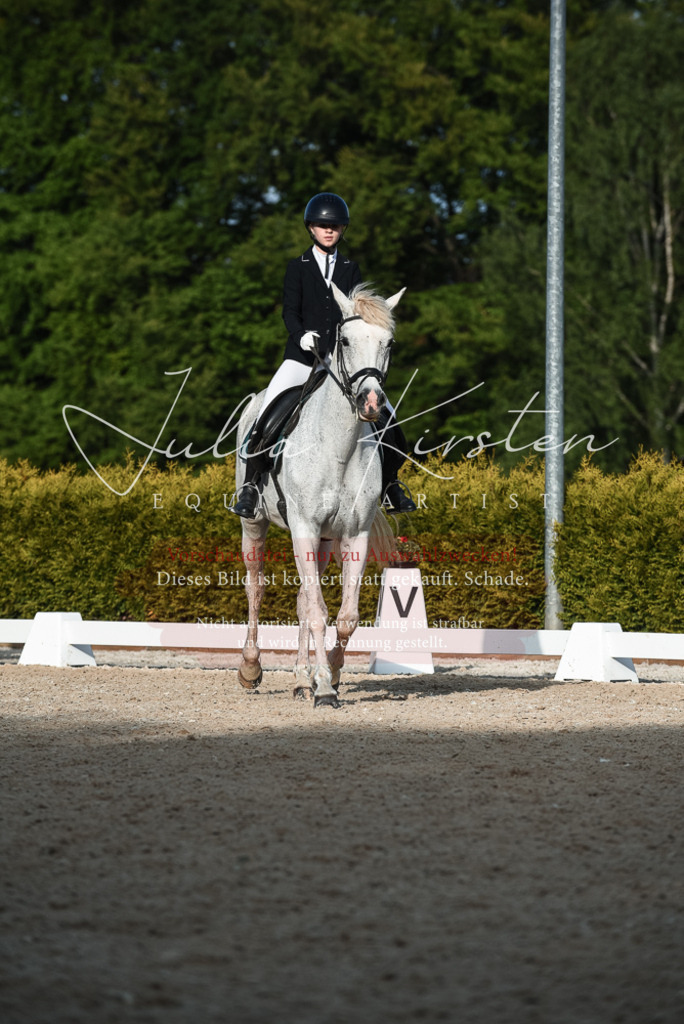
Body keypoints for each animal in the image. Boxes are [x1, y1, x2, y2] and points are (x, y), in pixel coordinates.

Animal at [234, 282, 404, 707]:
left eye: (389, 343)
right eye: (344, 340)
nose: (371, 403)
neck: (338, 447)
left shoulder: (353, 534)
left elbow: (344, 617)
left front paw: (331, 672)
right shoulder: (304, 528)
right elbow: (317, 612)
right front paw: (325, 687)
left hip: (325, 541)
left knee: (299, 600)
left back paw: (299, 678)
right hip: (255, 524)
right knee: (256, 588)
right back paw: (250, 667)